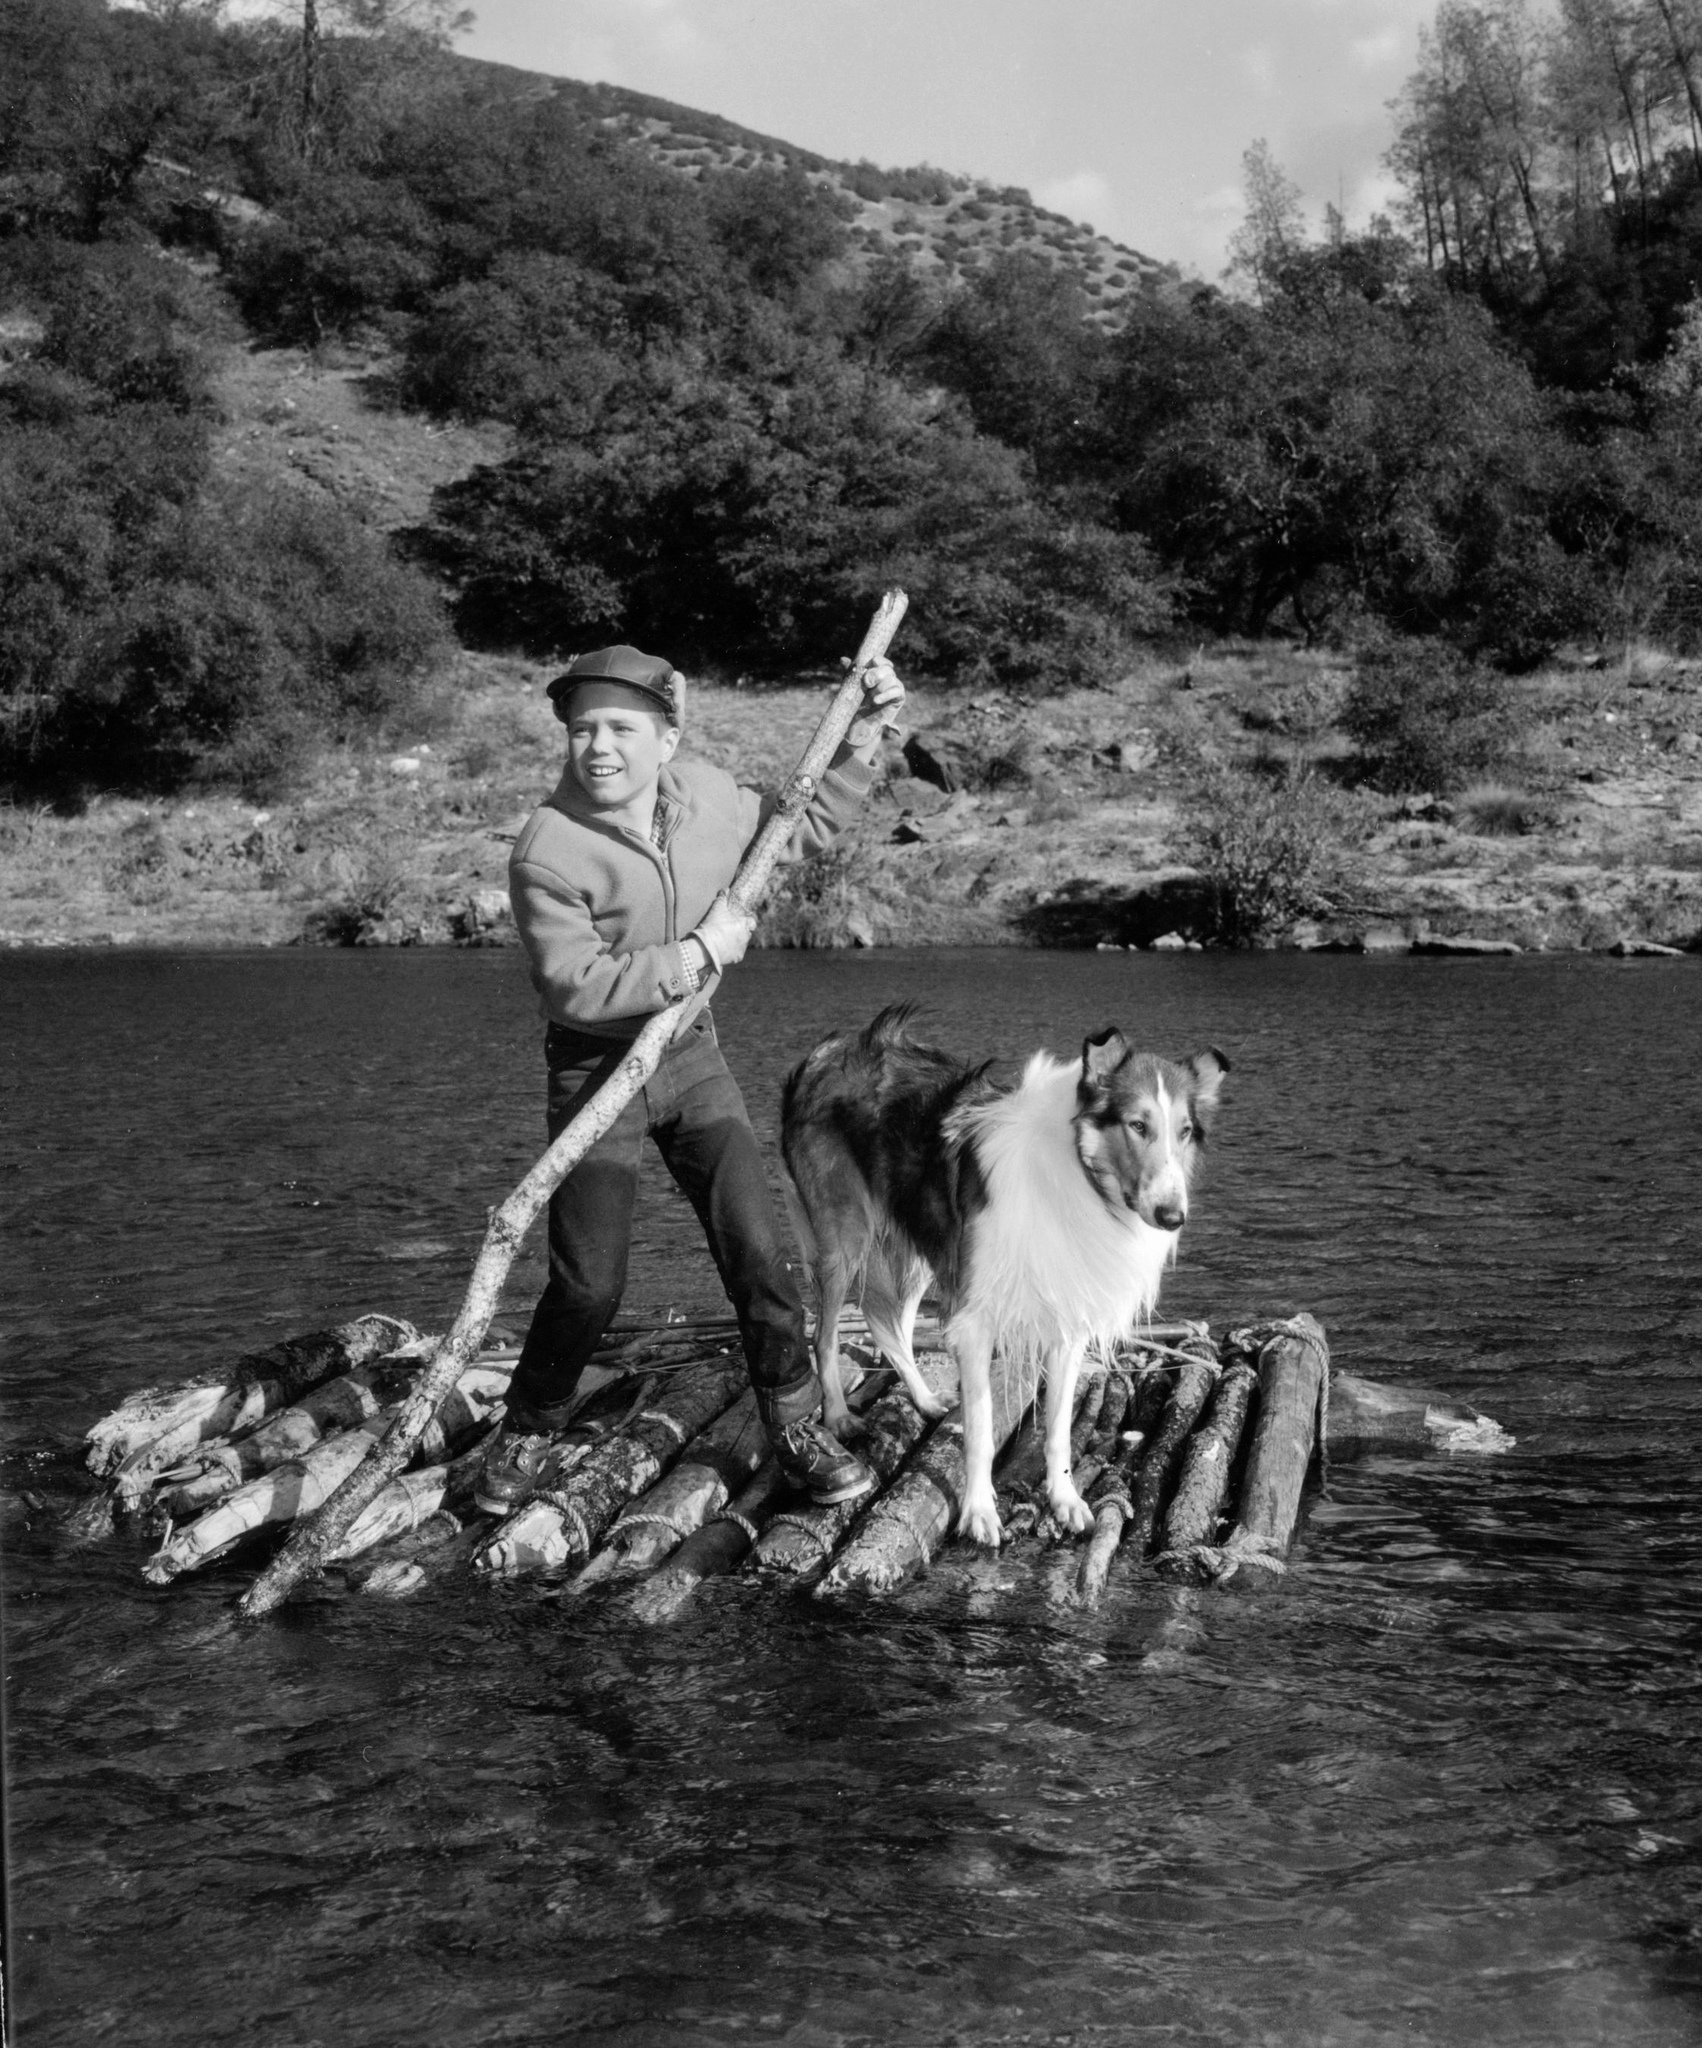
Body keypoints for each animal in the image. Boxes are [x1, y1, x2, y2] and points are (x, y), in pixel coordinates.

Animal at [786, 999, 1228, 1540]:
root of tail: (824, 1053)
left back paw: (925, 1400)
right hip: (845, 1241)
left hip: (919, 1250)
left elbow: (1057, 1430)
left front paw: (1065, 1499)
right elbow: (980, 1427)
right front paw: (979, 1511)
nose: (1172, 1217)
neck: (1077, 1175)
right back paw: (838, 1417)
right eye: (1137, 1125)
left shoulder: (1065, 1323)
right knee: (825, 1336)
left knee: (887, 1323)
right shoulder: (974, 1320)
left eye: (1183, 1131)